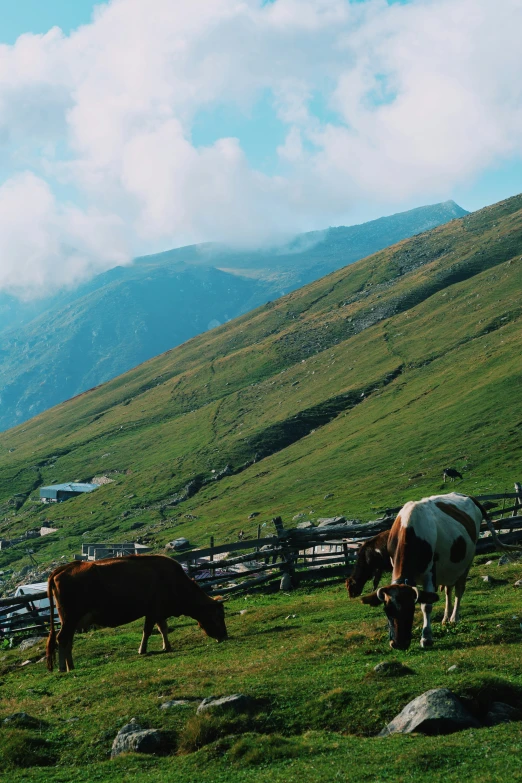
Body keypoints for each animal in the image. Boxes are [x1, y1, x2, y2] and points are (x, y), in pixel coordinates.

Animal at [47, 552, 228, 672]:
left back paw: (71, 666)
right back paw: (62, 667)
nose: (225, 637)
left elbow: (163, 628)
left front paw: (167, 646)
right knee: (61, 639)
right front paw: (143, 650)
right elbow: (148, 630)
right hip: (70, 617)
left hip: (71, 620)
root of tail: (63, 569)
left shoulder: (159, 610)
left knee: (68, 641)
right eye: (218, 617)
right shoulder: (153, 610)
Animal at [360, 494, 516, 652]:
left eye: (410, 609)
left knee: (459, 589)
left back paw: (454, 618)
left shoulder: (430, 573)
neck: (409, 528)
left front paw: (426, 638)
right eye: (387, 611)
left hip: (467, 560)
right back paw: (446, 618)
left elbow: (427, 605)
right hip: (449, 567)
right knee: (448, 590)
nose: (399, 644)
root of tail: (466, 496)